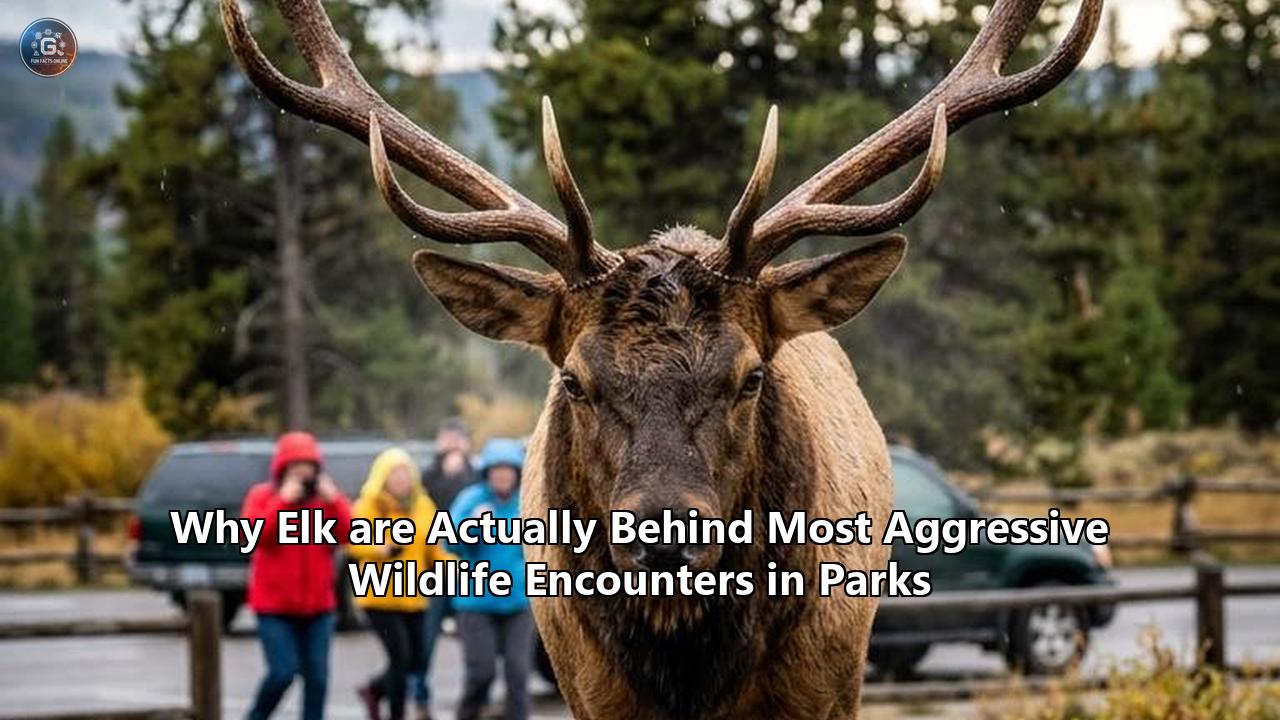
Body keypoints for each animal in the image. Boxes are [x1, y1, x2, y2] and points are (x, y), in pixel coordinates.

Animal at [222, 0, 1101, 717]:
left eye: (751, 376)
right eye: (572, 380)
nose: (664, 534)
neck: (692, 675)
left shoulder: (826, 682)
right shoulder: (590, 689)